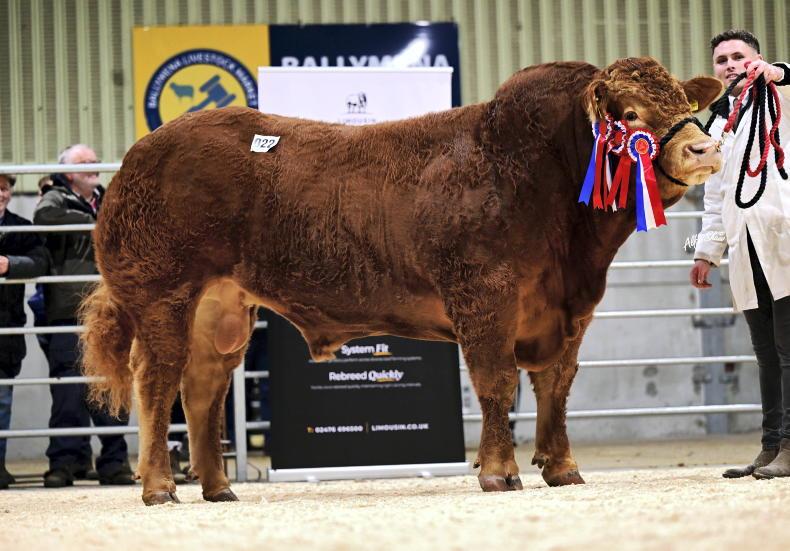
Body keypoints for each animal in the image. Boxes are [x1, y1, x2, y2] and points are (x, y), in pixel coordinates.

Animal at [80, 57, 722, 505]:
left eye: (685, 103)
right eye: (630, 115)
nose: (705, 148)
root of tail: (140, 154)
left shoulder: (571, 310)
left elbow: (556, 389)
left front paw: (562, 469)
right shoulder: (484, 298)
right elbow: (496, 384)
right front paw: (499, 472)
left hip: (223, 309)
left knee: (203, 388)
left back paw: (218, 487)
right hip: (162, 296)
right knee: (158, 384)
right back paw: (159, 487)